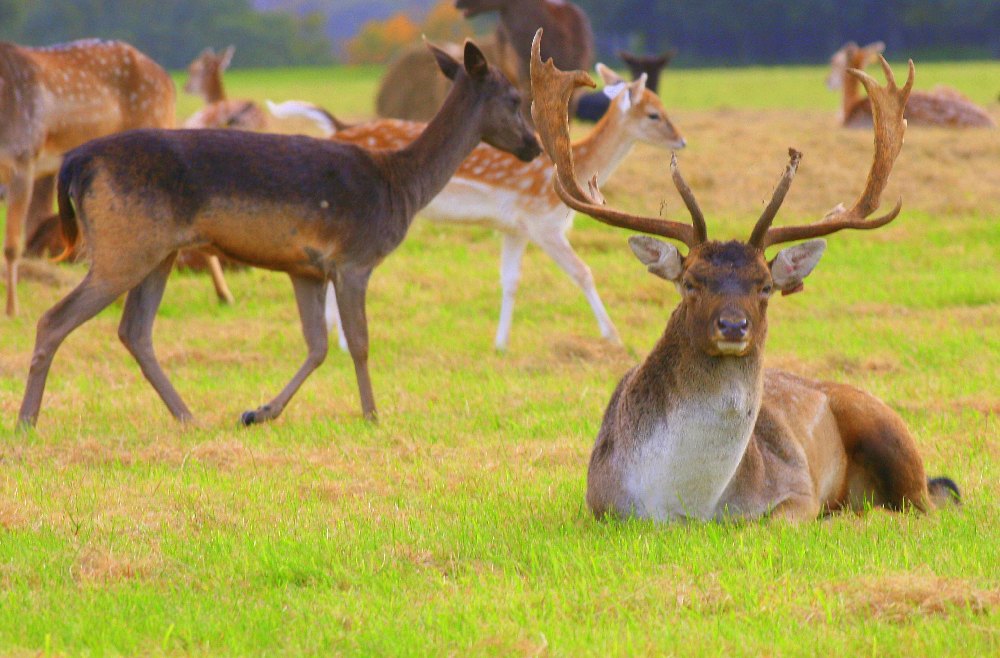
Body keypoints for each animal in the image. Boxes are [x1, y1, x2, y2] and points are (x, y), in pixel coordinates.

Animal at [15, 42, 544, 430]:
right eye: (516, 100)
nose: (534, 146)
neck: (401, 186)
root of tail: (75, 164)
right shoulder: (354, 259)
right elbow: (358, 341)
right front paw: (372, 415)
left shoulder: (305, 268)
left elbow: (317, 345)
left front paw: (259, 411)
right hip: (123, 245)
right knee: (54, 319)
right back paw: (27, 420)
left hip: (156, 251)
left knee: (135, 331)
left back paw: (188, 417)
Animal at [270, 60, 684, 348]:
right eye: (654, 113)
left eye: (664, 105)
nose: (681, 140)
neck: (581, 166)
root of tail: (337, 128)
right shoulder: (542, 221)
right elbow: (582, 272)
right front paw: (613, 336)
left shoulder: (514, 228)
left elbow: (510, 280)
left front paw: (500, 344)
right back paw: (341, 342)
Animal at [532, 30, 960, 520]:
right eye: (690, 282)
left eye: (766, 286)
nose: (734, 326)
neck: (689, 505)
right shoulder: (601, 504)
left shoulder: (796, 490)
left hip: (891, 433)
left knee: (930, 500)